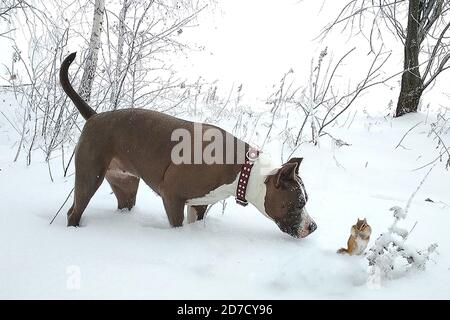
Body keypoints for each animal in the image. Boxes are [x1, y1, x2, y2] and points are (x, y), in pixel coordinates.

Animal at [59, 52, 316, 238]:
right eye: (298, 204)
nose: (313, 226)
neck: (243, 169)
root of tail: (94, 117)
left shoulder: (199, 204)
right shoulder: (172, 196)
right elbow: (176, 223)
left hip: (125, 184)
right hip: (90, 176)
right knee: (74, 210)